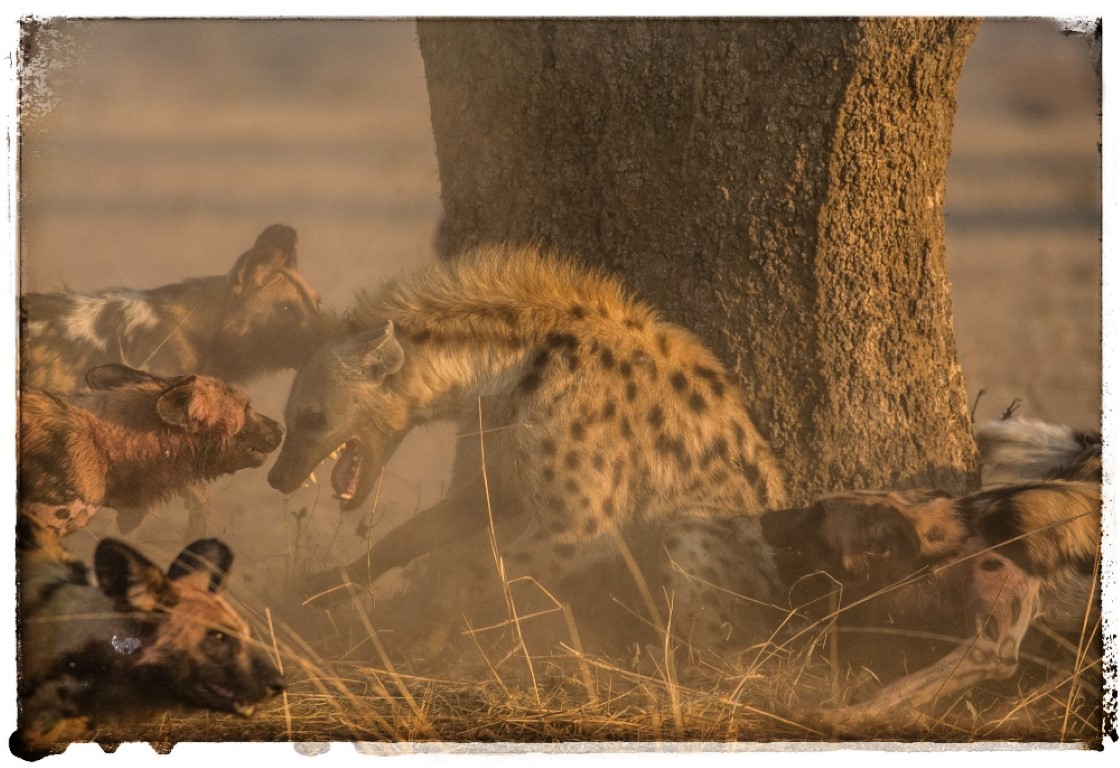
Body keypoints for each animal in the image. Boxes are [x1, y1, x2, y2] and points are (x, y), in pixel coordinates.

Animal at [269, 246, 788, 662]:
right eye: (289, 416)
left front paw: (419, 643)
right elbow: (418, 530)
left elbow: (481, 571)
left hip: (700, 537)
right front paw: (327, 585)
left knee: (728, 638)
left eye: (312, 417)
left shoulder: (582, 523)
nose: (276, 478)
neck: (505, 370)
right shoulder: (502, 470)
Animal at [761, 418, 1102, 729]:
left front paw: (844, 715)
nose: (765, 517)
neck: (965, 533)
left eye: (816, 518)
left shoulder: (989, 650)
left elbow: (900, 688)